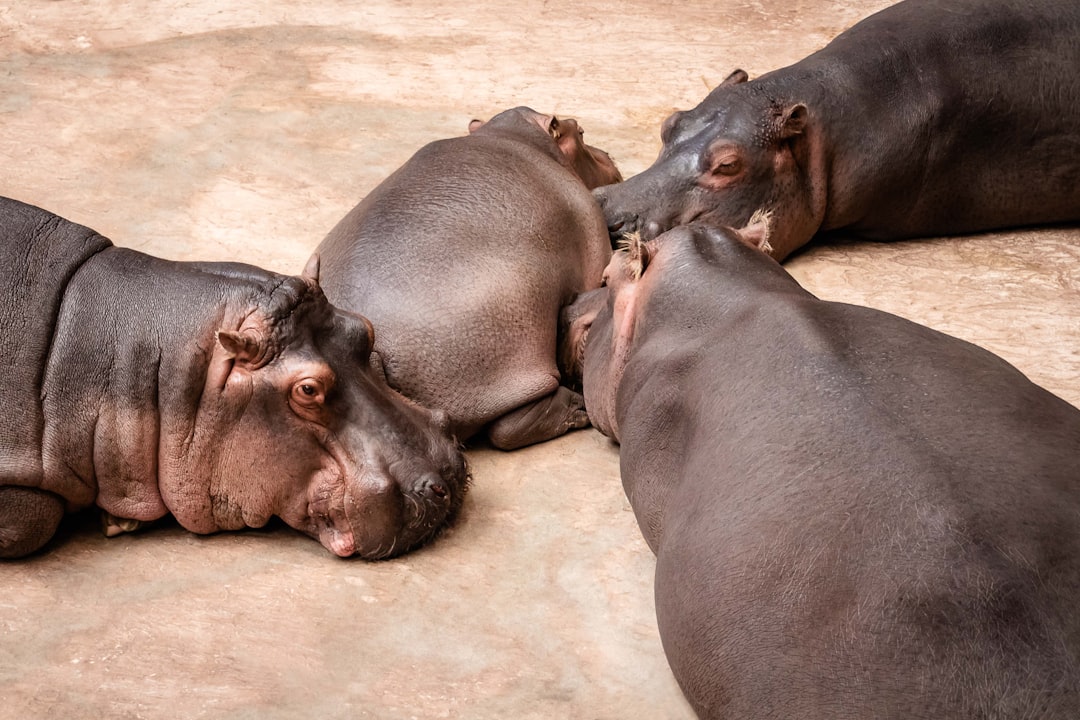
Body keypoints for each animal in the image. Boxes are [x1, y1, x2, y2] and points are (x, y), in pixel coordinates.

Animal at [315, 105, 622, 451]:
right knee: (509, 427)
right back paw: (577, 408)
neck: (514, 134)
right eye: (580, 131)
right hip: (515, 355)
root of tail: (372, 347)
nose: (608, 154)